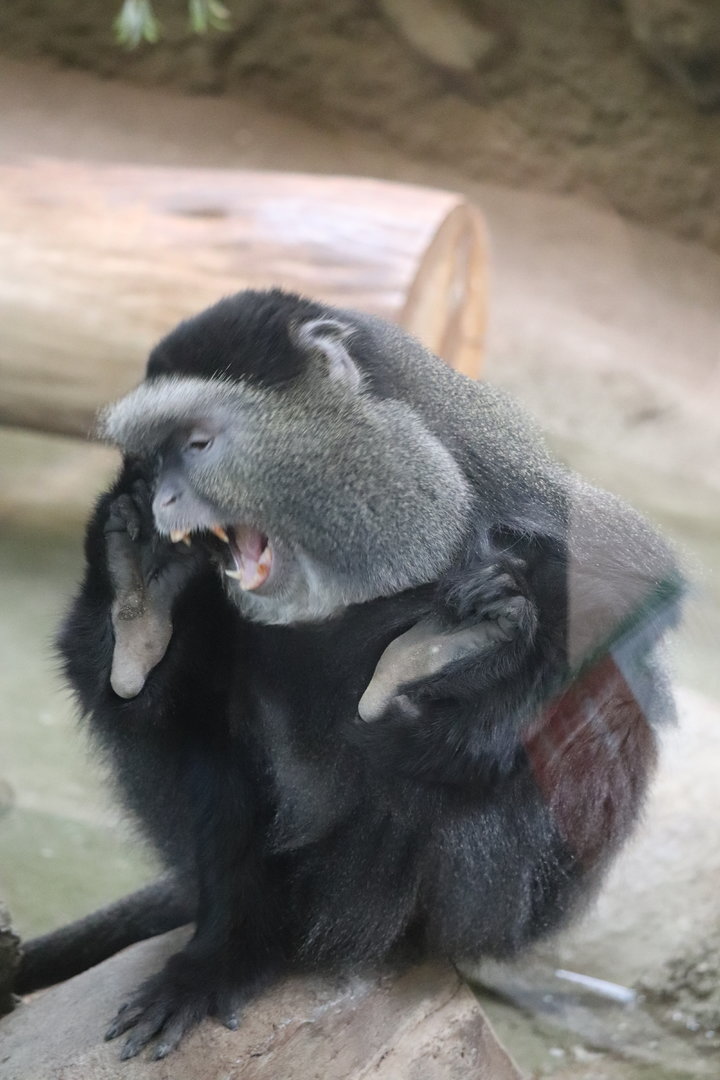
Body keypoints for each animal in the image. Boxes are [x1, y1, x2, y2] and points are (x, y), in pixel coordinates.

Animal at [14, 288, 683, 1060]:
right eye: (154, 459)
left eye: (198, 445)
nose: (163, 503)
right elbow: (161, 717)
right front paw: (140, 596)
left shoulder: (507, 479)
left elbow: (629, 595)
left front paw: (450, 706)